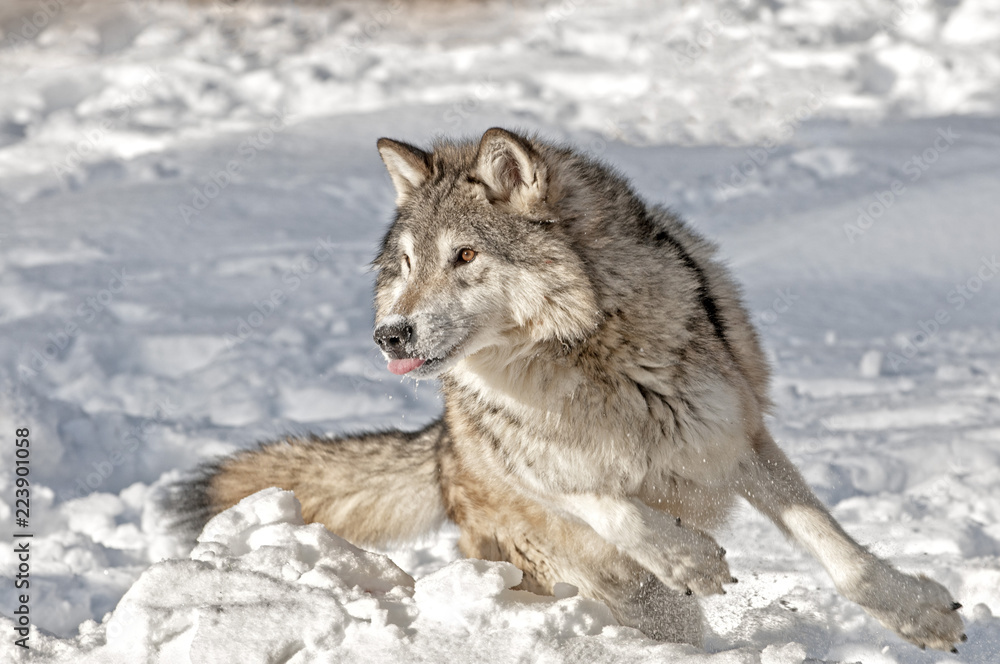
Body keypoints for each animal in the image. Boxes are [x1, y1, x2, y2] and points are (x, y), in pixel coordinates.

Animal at [166, 127, 965, 652]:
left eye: (465, 256)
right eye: (407, 263)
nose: (389, 336)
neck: (582, 360)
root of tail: (443, 453)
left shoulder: (734, 439)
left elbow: (842, 557)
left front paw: (917, 614)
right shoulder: (536, 466)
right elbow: (611, 503)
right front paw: (687, 556)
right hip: (583, 566)